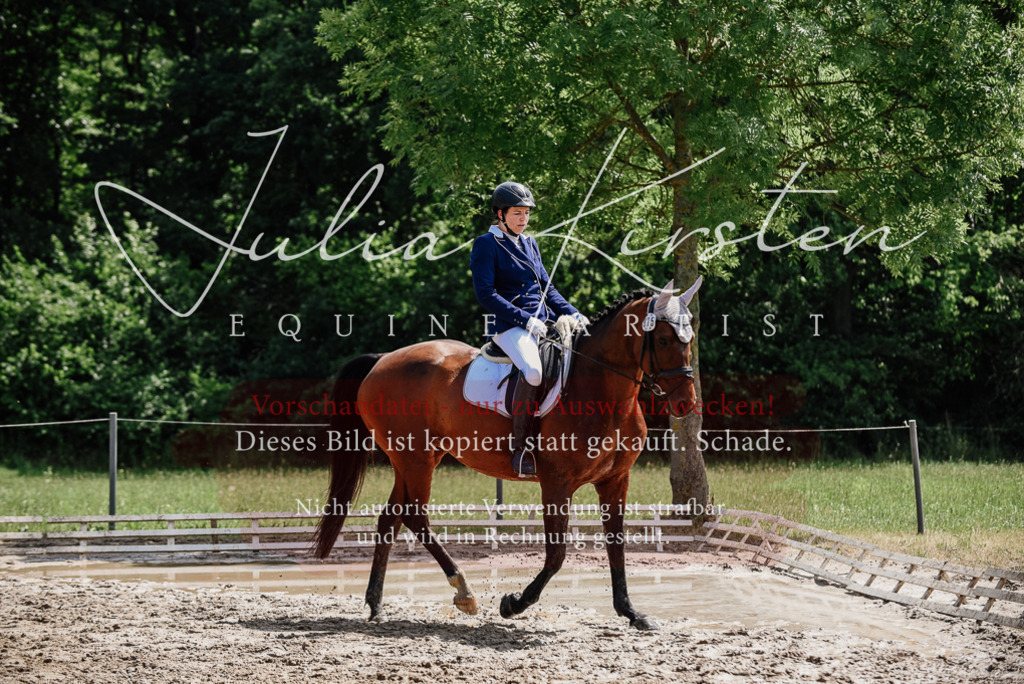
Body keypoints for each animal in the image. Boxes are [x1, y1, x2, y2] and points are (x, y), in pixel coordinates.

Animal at [312, 278, 701, 631]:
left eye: (690, 338)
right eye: (663, 339)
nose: (686, 403)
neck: (601, 389)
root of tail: (382, 360)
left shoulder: (615, 480)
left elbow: (616, 544)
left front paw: (631, 612)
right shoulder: (557, 483)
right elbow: (557, 555)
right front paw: (514, 603)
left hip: (415, 460)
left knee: (390, 519)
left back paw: (376, 604)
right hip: (416, 459)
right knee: (414, 516)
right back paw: (464, 592)